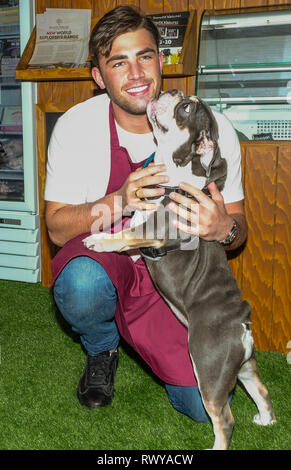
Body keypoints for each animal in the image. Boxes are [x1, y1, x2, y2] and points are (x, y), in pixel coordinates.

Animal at [83, 91, 278, 448]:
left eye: (186, 108)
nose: (169, 92)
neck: (177, 178)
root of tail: (242, 327)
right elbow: (129, 233)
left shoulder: (155, 230)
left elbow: (124, 235)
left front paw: (99, 241)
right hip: (243, 367)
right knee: (261, 388)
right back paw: (266, 420)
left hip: (210, 370)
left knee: (224, 419)